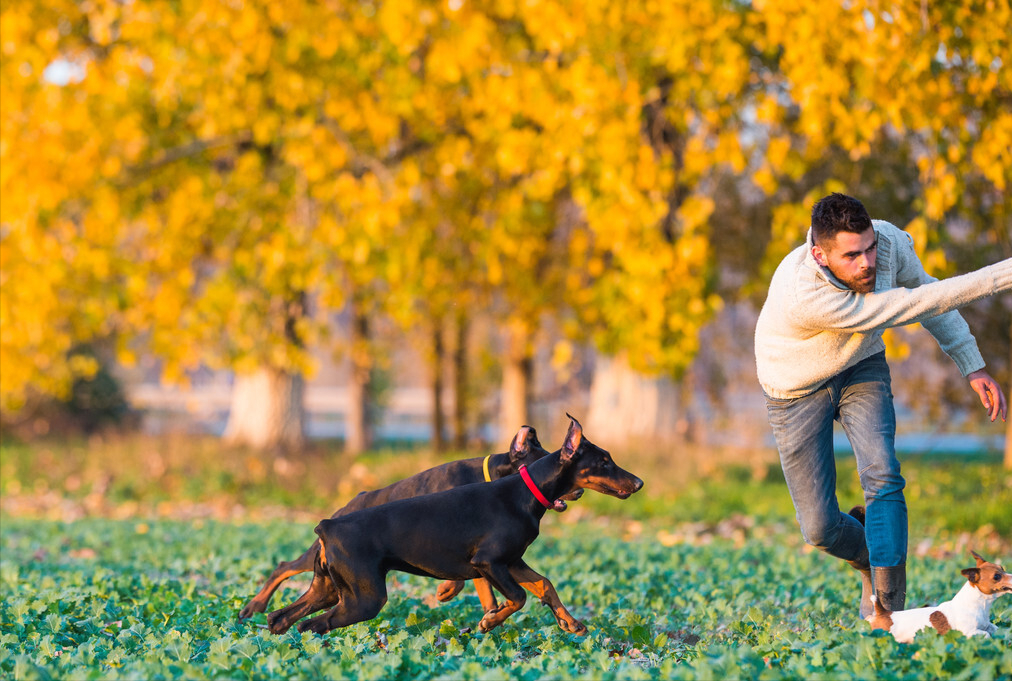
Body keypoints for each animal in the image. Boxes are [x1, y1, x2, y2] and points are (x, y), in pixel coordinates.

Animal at [862, 546, 1011, 643]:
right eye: (996, 576)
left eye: (1002, 568)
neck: (979, 604)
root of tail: (883, 612)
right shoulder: (969, 631)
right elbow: (986, 635)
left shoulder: (988, 625)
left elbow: (995, 629)